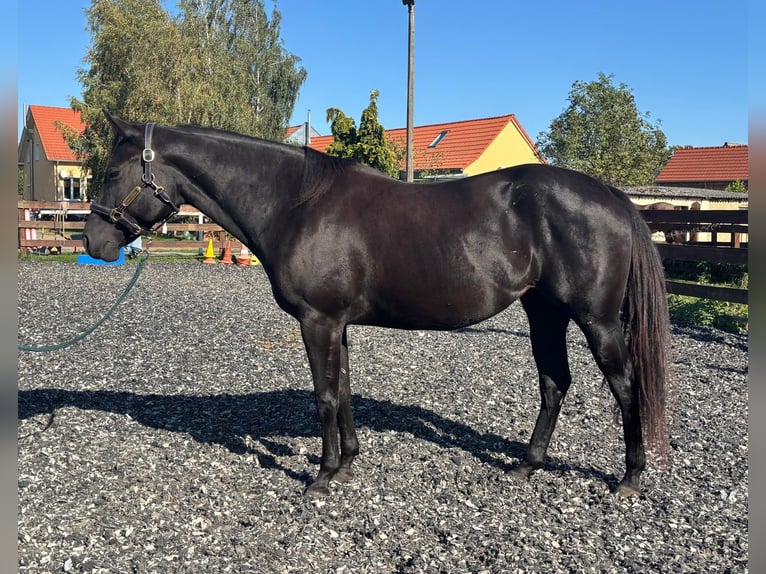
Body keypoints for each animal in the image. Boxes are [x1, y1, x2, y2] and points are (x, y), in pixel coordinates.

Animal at [83, 111, 672, 498]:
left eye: (111, 174)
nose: (94, 243)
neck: (296, 204)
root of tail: (610, 195)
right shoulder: (336, 323)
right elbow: (343, 389)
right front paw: (347, 464)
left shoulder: (318, 320)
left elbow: (324, 396)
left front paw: (321, 478)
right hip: (544, 312)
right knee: (554, 383)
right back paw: (526, 466)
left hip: (596, 320)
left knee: (625, 387)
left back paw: (630, 478)